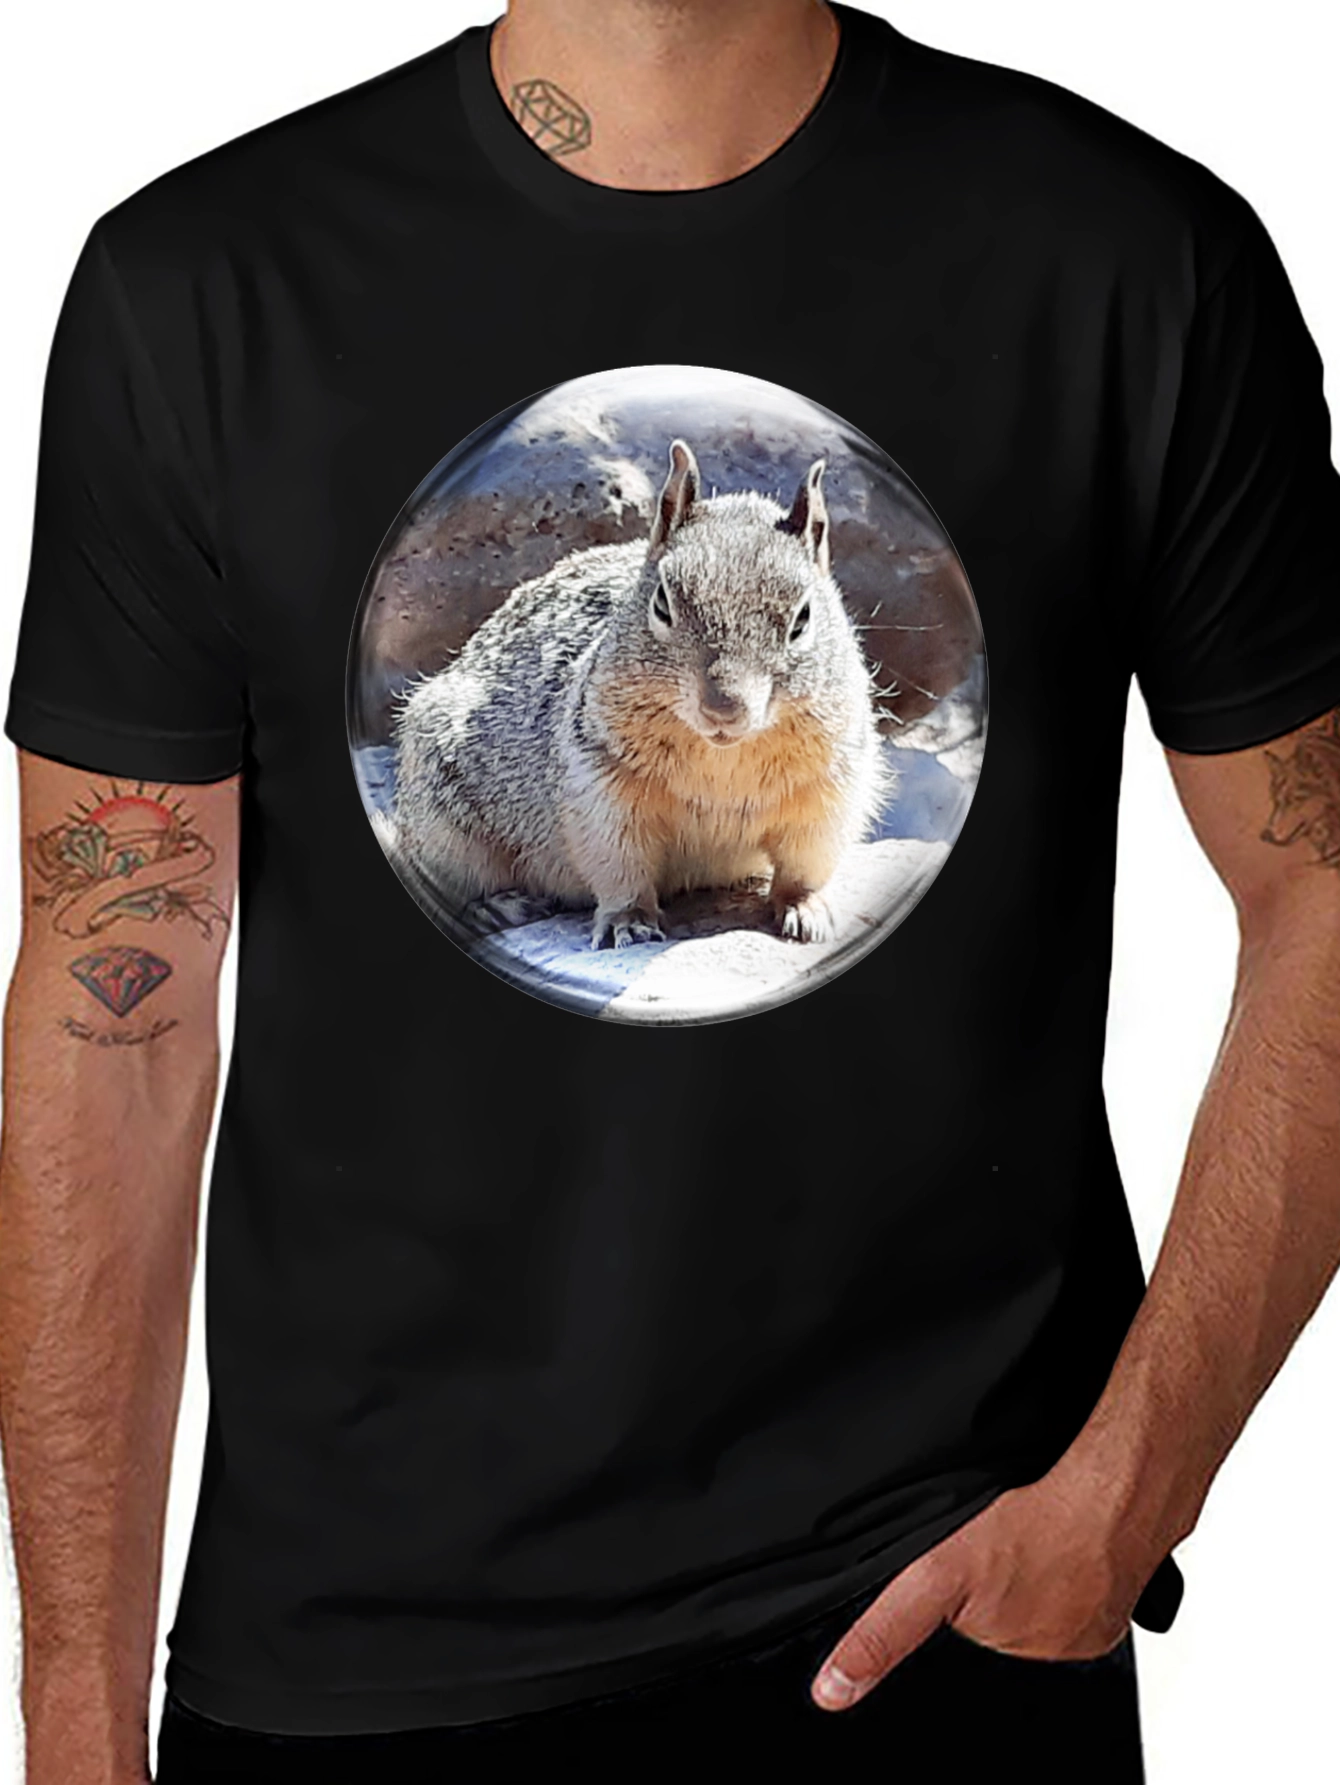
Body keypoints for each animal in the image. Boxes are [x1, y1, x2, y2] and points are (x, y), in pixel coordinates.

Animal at [392, 438, 889, 950]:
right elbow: (620, 868)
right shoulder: (601, 789)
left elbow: (805, 864)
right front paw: (626, 922)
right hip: (445, 824)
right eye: (662, 604)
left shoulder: (830, 789)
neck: (724, 756)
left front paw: (806, 909)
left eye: (803, 618)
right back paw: (498, 906)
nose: (723, 707)